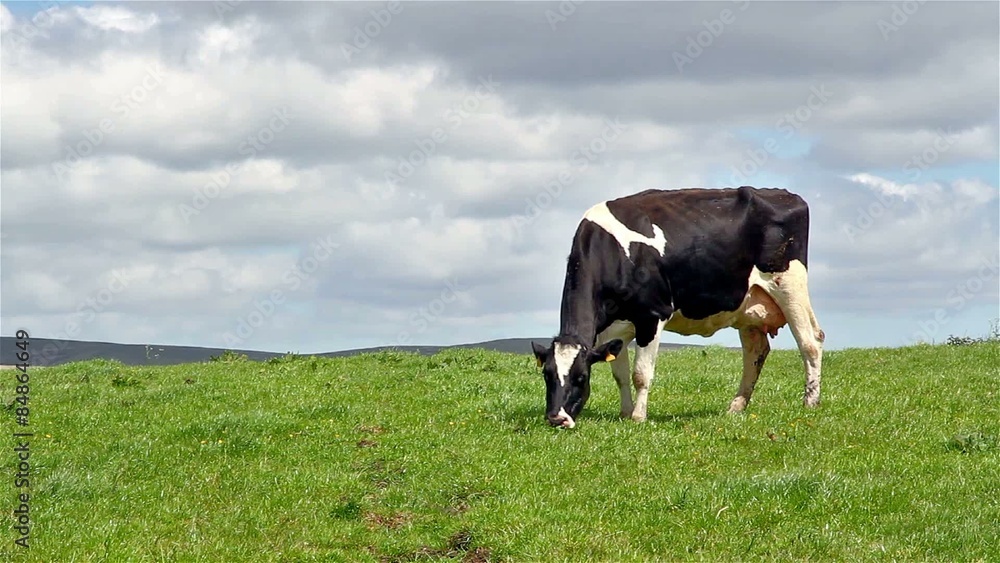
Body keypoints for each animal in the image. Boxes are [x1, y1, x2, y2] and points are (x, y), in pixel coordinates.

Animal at [531, 186, 825, 428]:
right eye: (546, 374)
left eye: (581, 377)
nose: (557, 418)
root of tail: (784, 194)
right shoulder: (611, 329)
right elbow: (620, 375)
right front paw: (625, 413)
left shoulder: (652, 315)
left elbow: (640, 374)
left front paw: (638, 418)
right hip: (748, 307)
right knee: (756, 352)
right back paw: (736, 407)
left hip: (789, 285)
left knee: (811, 342)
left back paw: (810, 403)